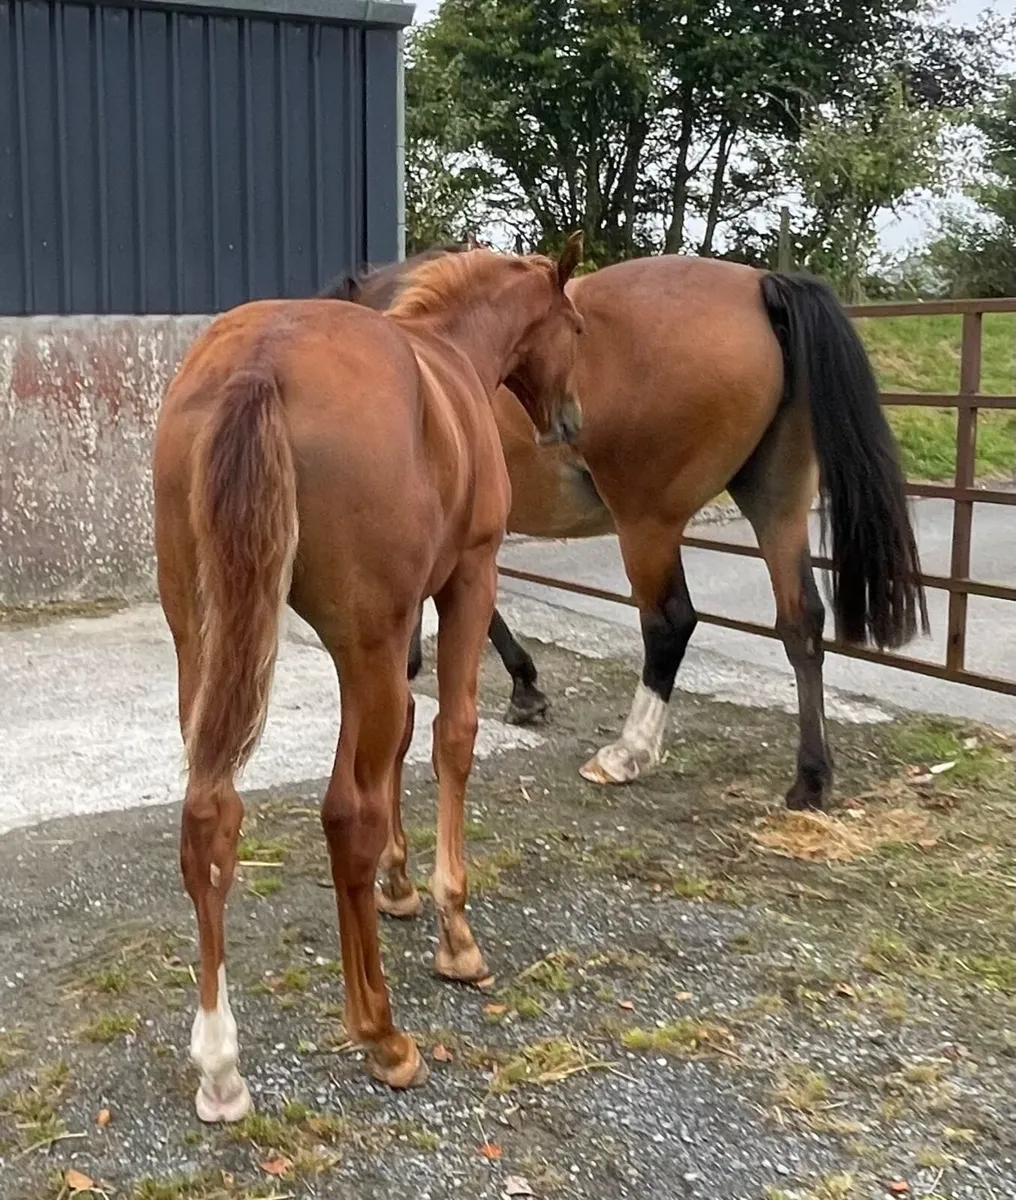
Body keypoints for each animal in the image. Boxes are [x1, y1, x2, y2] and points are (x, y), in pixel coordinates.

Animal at [151, 238, 585, 1122]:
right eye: (576, 324)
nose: (572, 420)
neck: (449, 355)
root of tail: (260, 363)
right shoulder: (466, 580)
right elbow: (451, 735)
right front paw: (453, 930)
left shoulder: (399, 629)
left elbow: (405, 741)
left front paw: (398, 883)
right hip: (363, 645)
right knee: (343, 813)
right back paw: (382, 1033)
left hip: (207, 642)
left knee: (210, 816)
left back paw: (220, 1065)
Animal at [331, 249, 928, 814]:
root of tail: (761, 284)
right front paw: (517, 686)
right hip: (775, 503)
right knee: (801, 621)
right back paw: (811, 778)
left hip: (647, 523)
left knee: (669, 622)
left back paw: (628, 752)